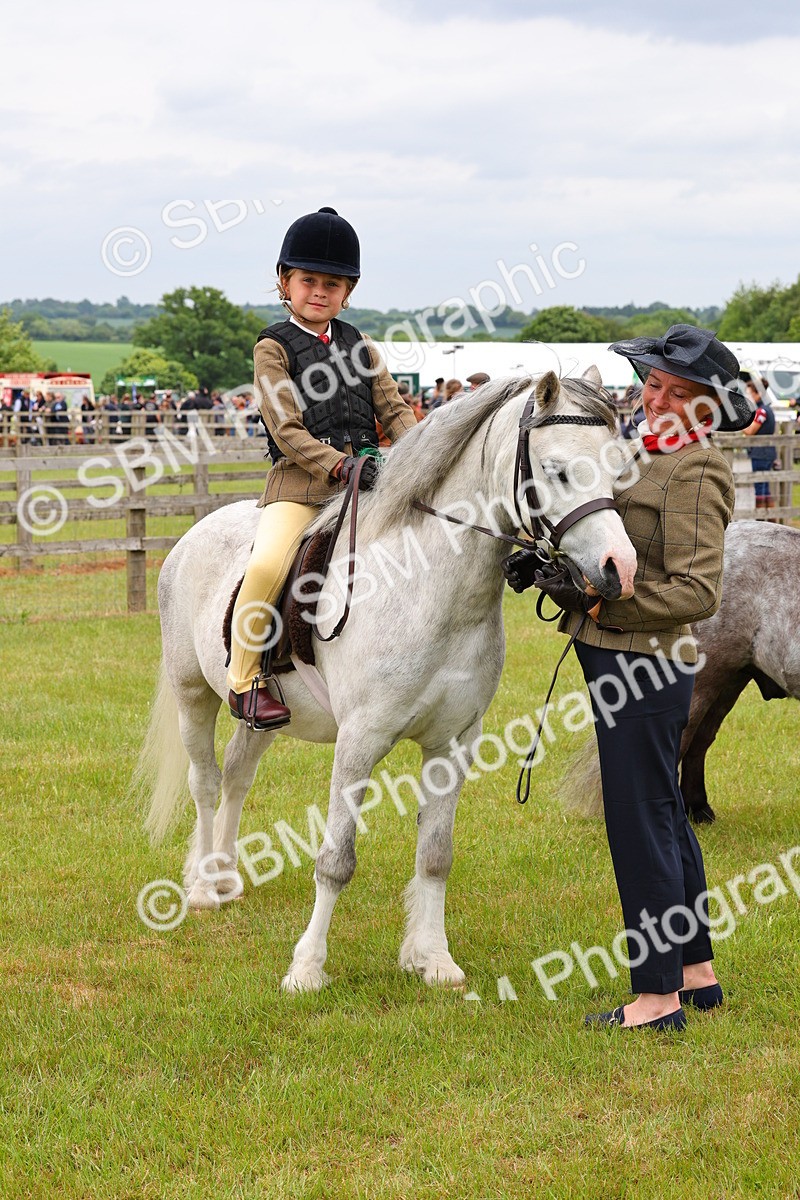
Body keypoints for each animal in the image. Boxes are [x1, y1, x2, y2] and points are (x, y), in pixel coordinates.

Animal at [139, 369, 637, 993]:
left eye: (618, 466)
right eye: (558, 470)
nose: (621, 569)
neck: (430, 588)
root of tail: (192, 534)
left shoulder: (453, 743)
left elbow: (436, 854)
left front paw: (433, 960)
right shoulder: (360, 740)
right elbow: (336, 860)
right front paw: (307, 969)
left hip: (258, 714)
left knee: (236, 774)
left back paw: (226, 876)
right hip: (192, 695)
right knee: (204, 781)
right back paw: (205, 887)